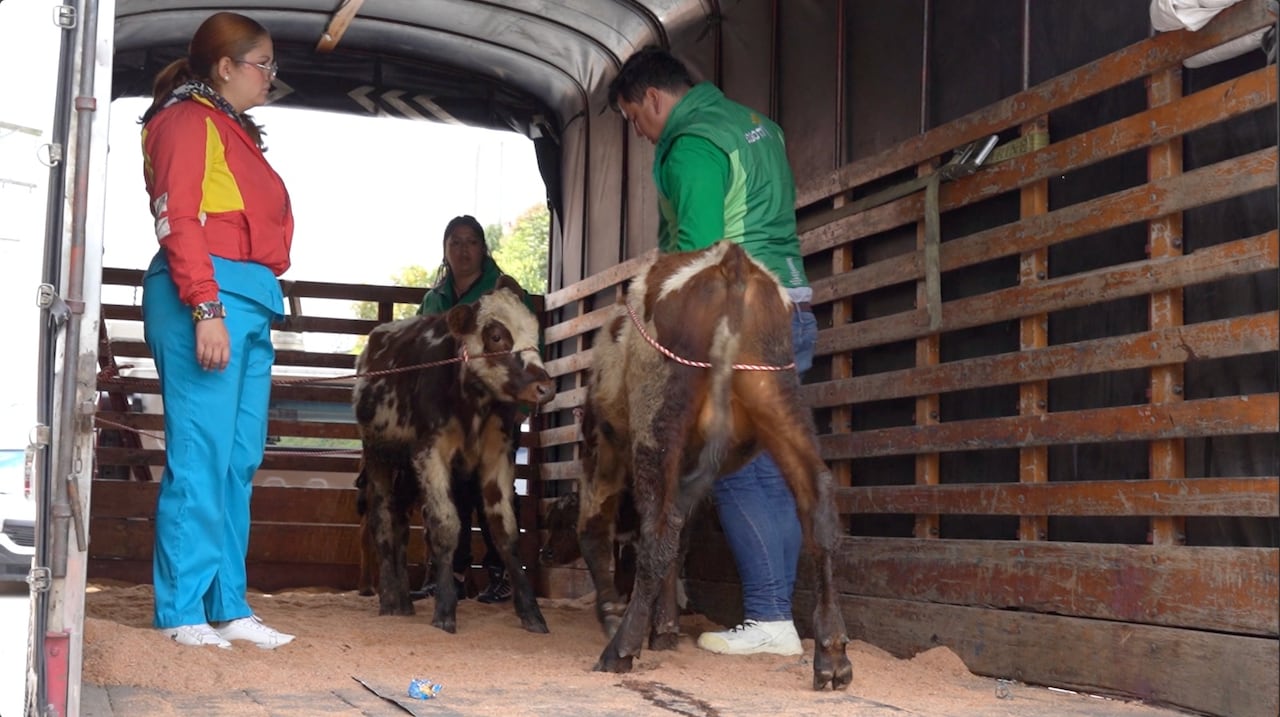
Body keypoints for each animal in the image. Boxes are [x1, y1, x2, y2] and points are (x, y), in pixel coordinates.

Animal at [352, 276, 554, 634]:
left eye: (534, 330)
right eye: (496, 336)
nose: (544, 388)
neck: (471, 401)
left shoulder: (497, 456)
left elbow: (505, 530)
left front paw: (531, 612)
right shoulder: (431, 454)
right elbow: (445, 526)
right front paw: (445, 609)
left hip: (407, 469)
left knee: (400, 522)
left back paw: (404, 601)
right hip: (378, 454)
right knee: (382, 518)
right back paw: (389, 599)